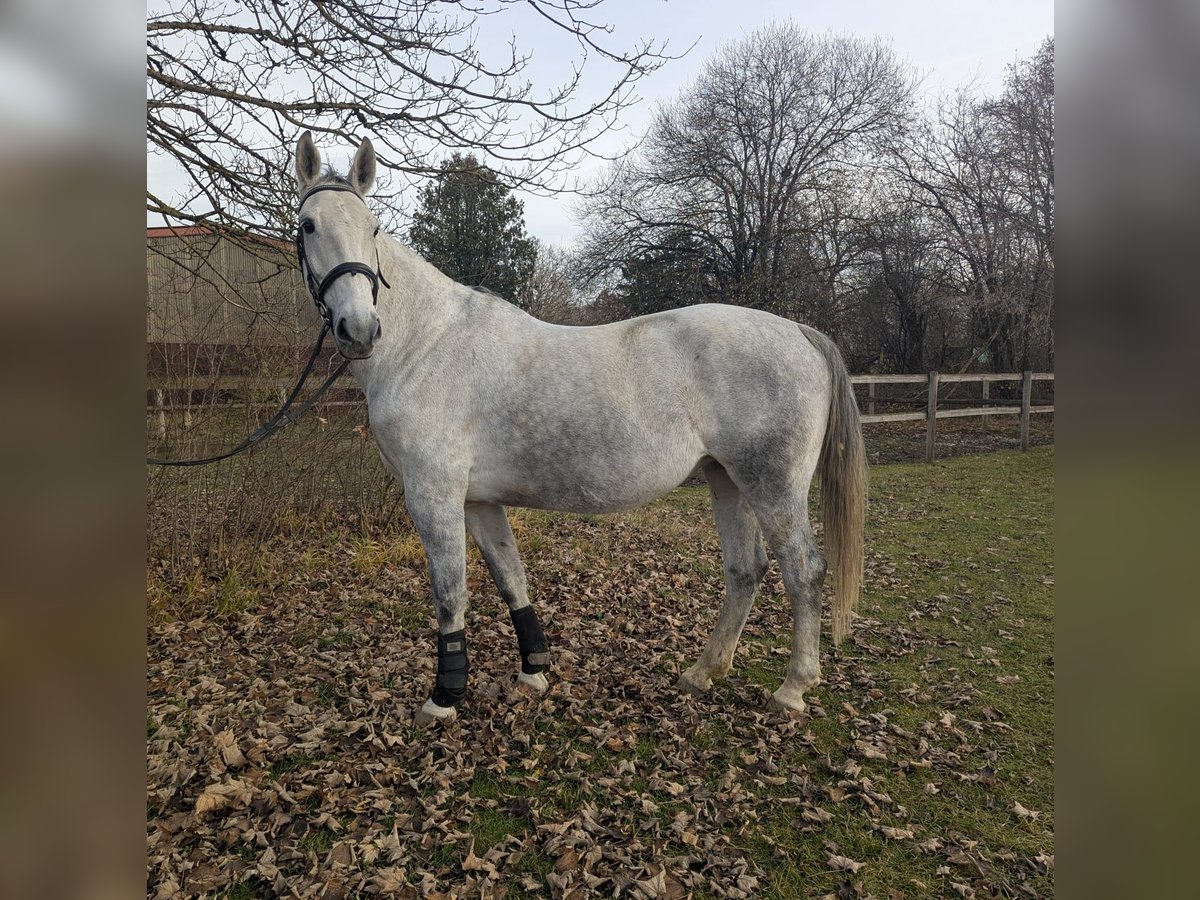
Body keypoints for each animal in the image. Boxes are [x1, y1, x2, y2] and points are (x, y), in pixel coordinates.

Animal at [292, 132, 867, 726]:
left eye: (371, 227)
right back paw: (703, 672)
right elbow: (511, 579)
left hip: (772, 484)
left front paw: (444, 698)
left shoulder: (434, 495)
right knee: (745, 571)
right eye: (308, 225)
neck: (427, 343)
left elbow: (450, 594)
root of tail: (799, 332)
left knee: (804, 572)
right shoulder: (478, 500)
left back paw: (792, 689)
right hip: (726, 478)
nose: (359, 330)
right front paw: (532, 674)